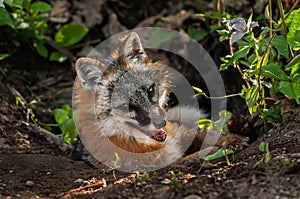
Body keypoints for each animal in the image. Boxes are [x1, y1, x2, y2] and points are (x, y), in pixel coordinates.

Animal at [72, 31, 246, 170]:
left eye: (150, 90)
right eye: (126, 106)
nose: (160, 122)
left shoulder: (178, 131)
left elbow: (205, 133)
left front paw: (230, 139)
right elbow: (194, 156)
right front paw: (219, 149)